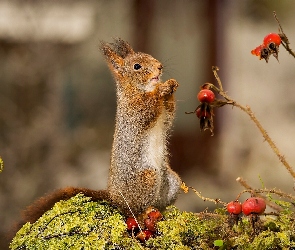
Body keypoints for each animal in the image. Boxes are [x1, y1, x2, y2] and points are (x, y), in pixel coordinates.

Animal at [15, 37, 182, 229]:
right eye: (137, 66)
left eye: (150, 56)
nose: (160, 66)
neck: (139, 89)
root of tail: (113, 196)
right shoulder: (134, 111)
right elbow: (148, 108)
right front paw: (161, 89)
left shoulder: (164, 118)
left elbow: (169, 116)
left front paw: (171, 84)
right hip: (146, 179)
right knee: (130, 209)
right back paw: (142, 214)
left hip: (171, 182)